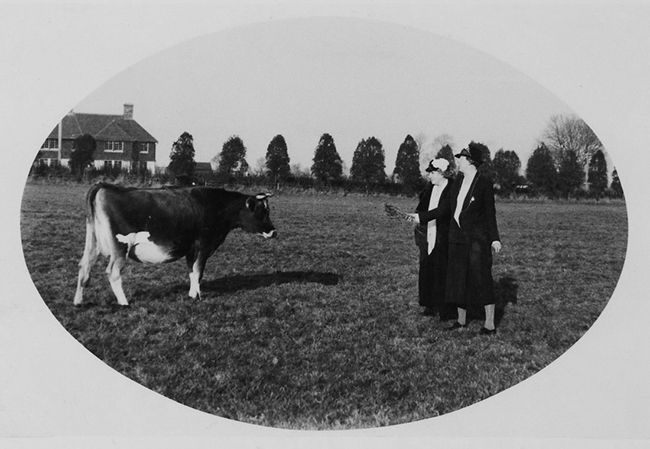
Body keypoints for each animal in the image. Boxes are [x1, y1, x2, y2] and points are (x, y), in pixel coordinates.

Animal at [74, 181, 276, 304]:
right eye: (261, 212)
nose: (274, 231)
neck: (216, 206)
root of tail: (105, 186)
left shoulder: (191, 249)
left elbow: (192, 272)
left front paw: (192, 294)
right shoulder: (204, 245)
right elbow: (199, 271)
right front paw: (197, 296)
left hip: (94, 243)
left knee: (84, 266)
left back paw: (78, 301)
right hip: (120, 247)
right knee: (112, 273)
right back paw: (124, 302)